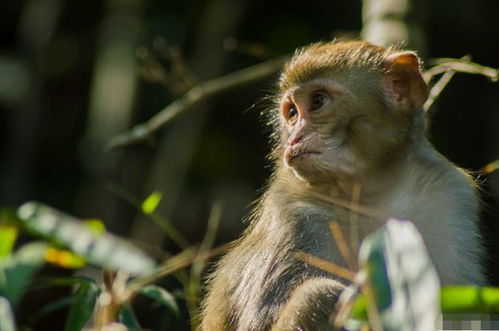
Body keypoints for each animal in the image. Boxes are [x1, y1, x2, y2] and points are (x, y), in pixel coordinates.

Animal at [199, 40, 484, 331]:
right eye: (292, 113)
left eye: (317, 101)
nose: (294, 138)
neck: (370, 196)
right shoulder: (289, 212)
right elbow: (257, 323)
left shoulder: (449, 193)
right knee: (320, 293)